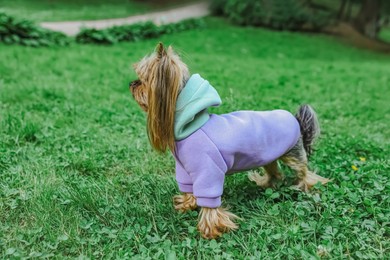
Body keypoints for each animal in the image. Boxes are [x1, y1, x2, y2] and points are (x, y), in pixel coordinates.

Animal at [129, 43, 330, 240]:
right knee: (275, 172)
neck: (191, 125)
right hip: (268, 155)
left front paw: (210, 229)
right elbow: (188, 188)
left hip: (292, 154)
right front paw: (186, 204)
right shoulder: (185, 169)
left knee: (304, 172)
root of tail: (296, 120)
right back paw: (265, 183)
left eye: (143, 81)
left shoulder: (208, 170)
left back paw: (305, 186)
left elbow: (209, 200)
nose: (132, 84)